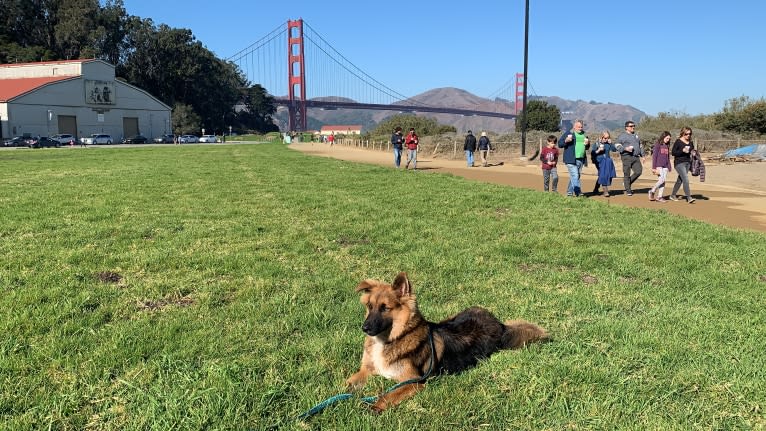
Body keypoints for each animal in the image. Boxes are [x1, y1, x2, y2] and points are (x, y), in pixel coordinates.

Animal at [344, 272, 548, 414]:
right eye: (370, 307)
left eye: (385, 308)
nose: (364, 328)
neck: (391, 339)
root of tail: (500, 324)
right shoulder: (366, 370)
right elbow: (347, 384)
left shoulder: (413, 382)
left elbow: (388, 395)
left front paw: (373, 407)